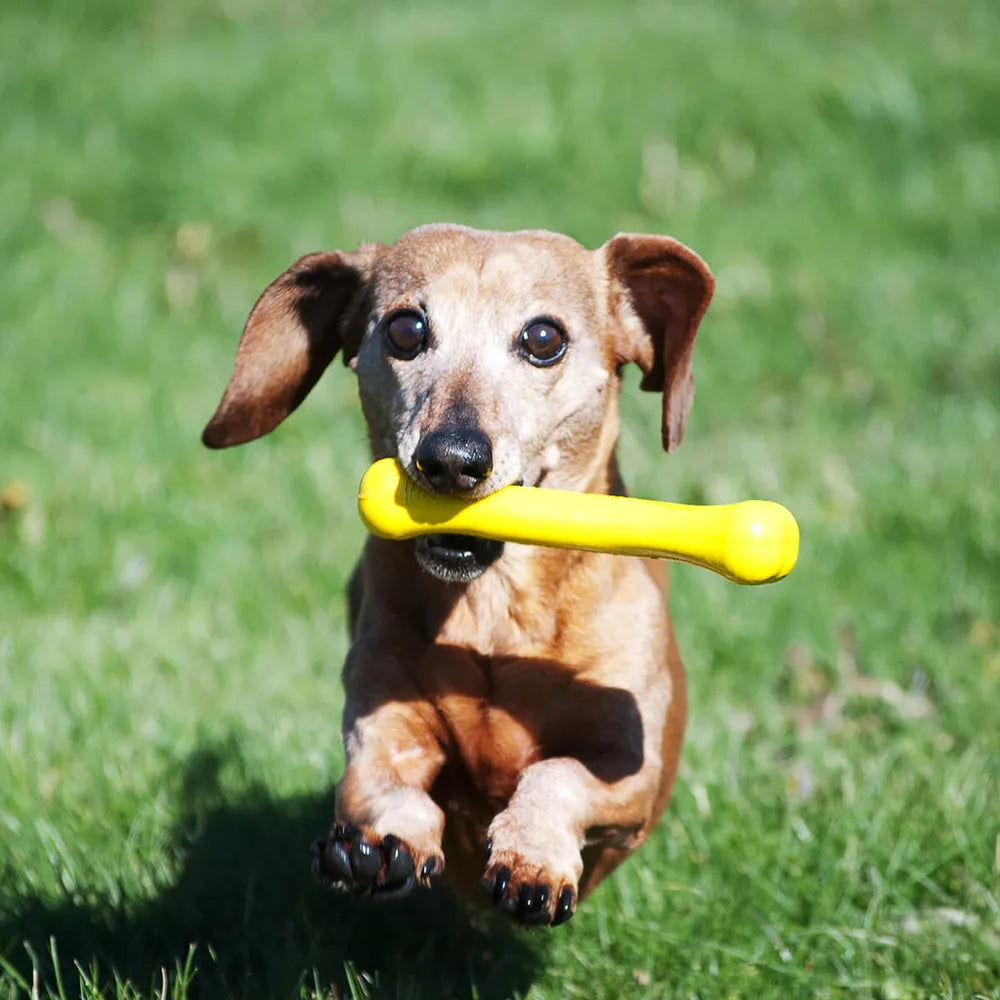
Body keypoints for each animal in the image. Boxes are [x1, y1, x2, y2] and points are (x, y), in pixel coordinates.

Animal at [203, 223, 716, 924]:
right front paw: (379, 846)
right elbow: (379, 781)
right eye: (406, 329)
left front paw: (532, 860)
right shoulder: (382, 716)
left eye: (544, 338)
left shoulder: (628, 773)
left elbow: (556, 775)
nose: (450, 459)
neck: (491, 614)